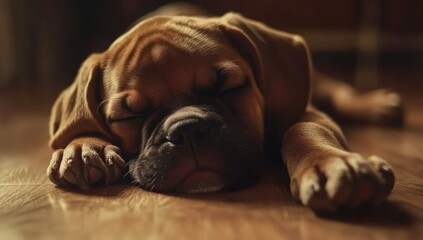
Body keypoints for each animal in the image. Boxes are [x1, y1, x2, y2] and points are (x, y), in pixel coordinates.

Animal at [48, 7, 400, 211]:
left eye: (229, 87)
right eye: (128, 116)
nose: (187, 129)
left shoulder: (308, 112)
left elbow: (303, 130)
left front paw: (329, 163)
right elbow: (78, 125)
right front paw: (84, 147)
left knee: (338, 89)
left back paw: (378, 104)